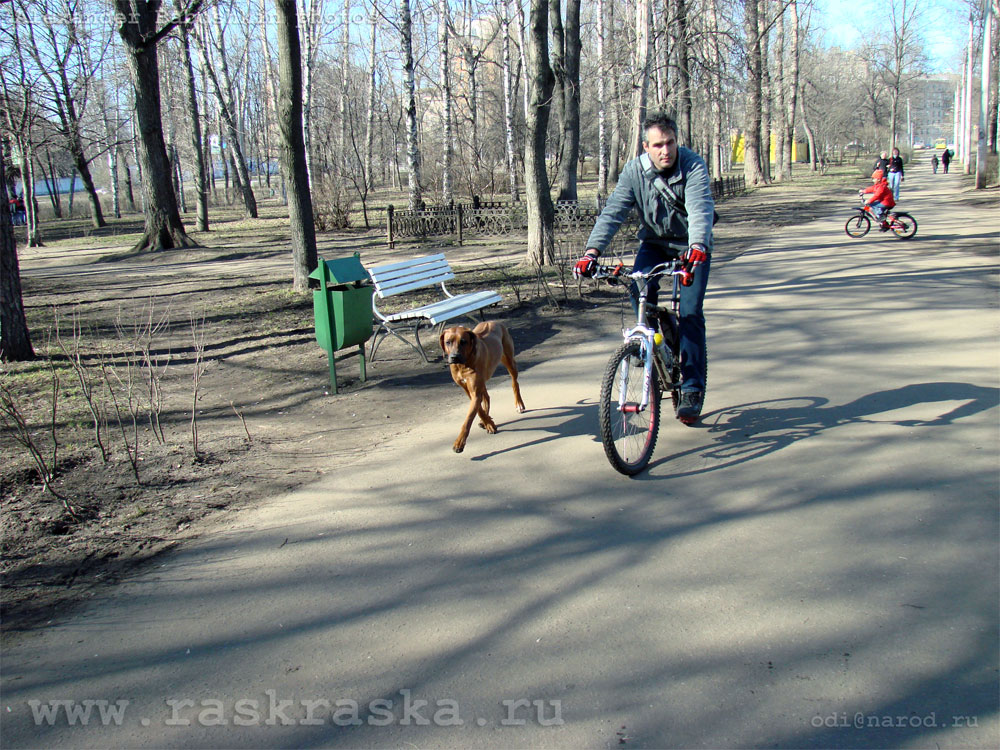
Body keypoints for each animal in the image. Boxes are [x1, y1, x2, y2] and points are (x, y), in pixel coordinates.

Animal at [442, 322, 528, 452]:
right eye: (448, 342)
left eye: (463, 341)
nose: (454, 357)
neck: (463, 365)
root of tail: (494, 322)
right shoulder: (467, 389)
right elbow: (479, 410)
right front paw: (489, 423)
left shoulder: (475, 391)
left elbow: (469, 419)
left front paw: (459, 442)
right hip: (483, 380)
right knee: (486, 397)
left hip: (509, 360)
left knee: (514, 383)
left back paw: (519, 404)